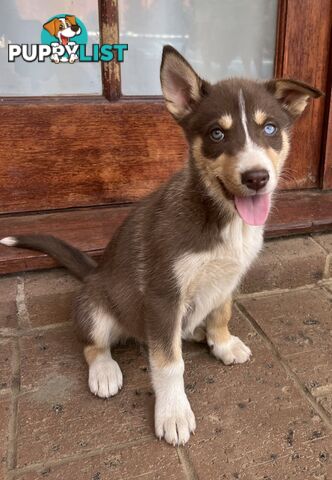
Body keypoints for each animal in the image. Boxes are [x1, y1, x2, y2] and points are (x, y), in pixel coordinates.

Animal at [0, 45, 322, 446]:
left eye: (270, 129)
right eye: (217, 133)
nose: (257, 178)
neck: (219, 215)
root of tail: (93, 273)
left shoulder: (228, 278)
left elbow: (221, 312)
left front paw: (223, 343)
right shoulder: (163, 295)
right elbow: (169, 363)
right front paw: (173, 413)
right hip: (93, 307)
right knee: (94, 343)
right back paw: (105, 371)